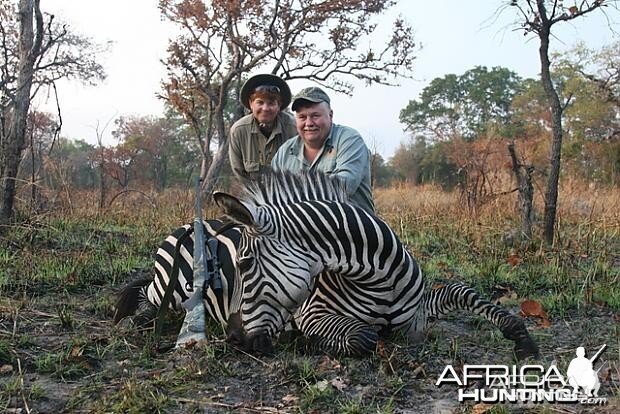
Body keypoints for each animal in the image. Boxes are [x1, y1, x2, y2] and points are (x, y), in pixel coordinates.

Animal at [212, 170, 536, 358]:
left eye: (246, 264)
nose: (234, 336)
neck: (382, 280)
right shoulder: (311, 313)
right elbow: (363, 336)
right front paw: (309, 342)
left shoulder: (418, 315)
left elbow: (459, 290)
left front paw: (521, 338)